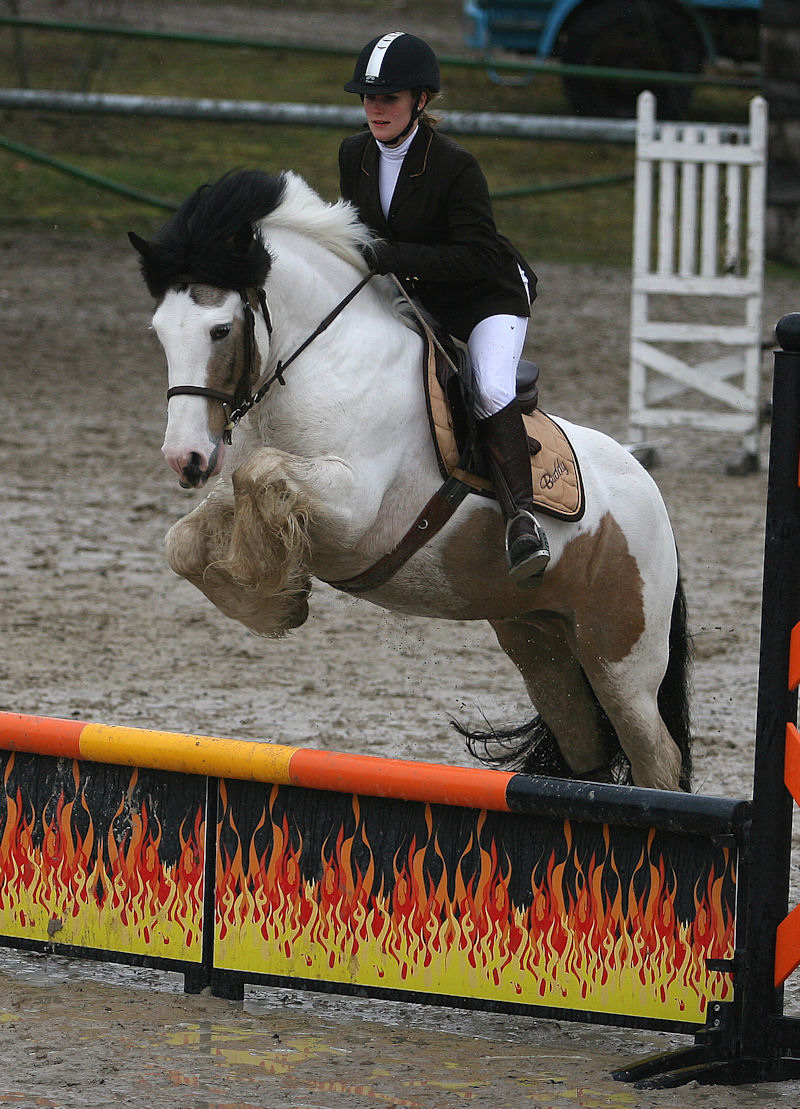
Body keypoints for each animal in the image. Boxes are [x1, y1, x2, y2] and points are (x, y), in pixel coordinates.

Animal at [128, 166, 687, 789]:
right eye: (159, 330)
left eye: (221, 330)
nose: (185, 457)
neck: (323, 358)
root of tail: (653, 498)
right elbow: (185, 539)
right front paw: (272, 604)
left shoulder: (352, 509)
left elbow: (258, 470)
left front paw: (279, 597)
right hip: (540, 642)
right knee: (582, 746)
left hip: (620, 659)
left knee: (656, 755)